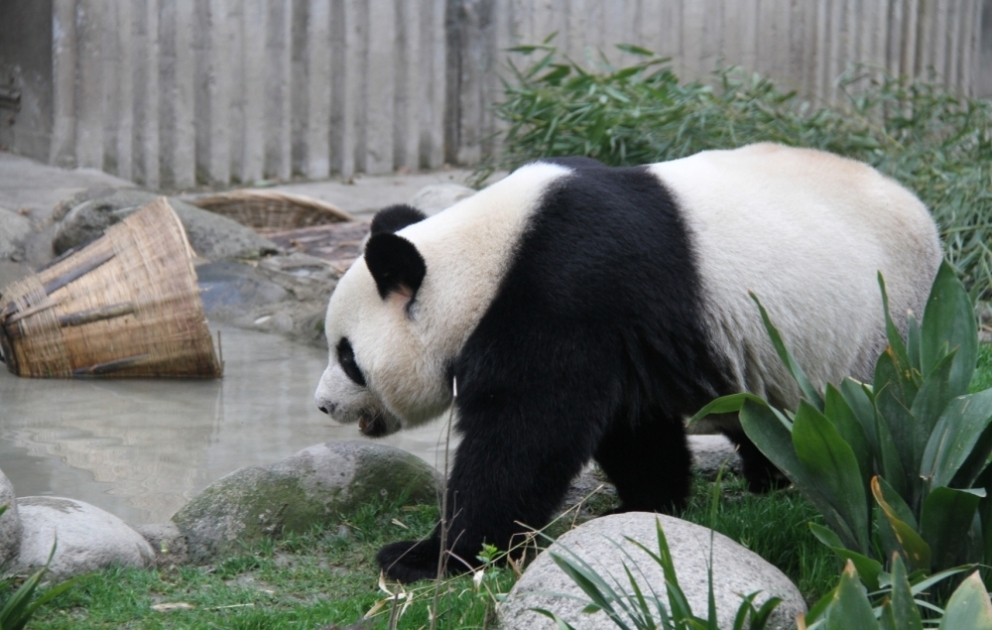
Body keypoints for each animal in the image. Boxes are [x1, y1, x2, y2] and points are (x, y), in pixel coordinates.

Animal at [315, 143, 942, 583]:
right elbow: (632, 428)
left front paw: (429, 555)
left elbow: (524, 436)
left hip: (885, 328)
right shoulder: (618, 331)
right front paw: (650, 505)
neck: (484, 258)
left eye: (347, 356)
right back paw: (770, 481)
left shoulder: (565, 291)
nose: (322, 405)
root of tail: (926, 217)